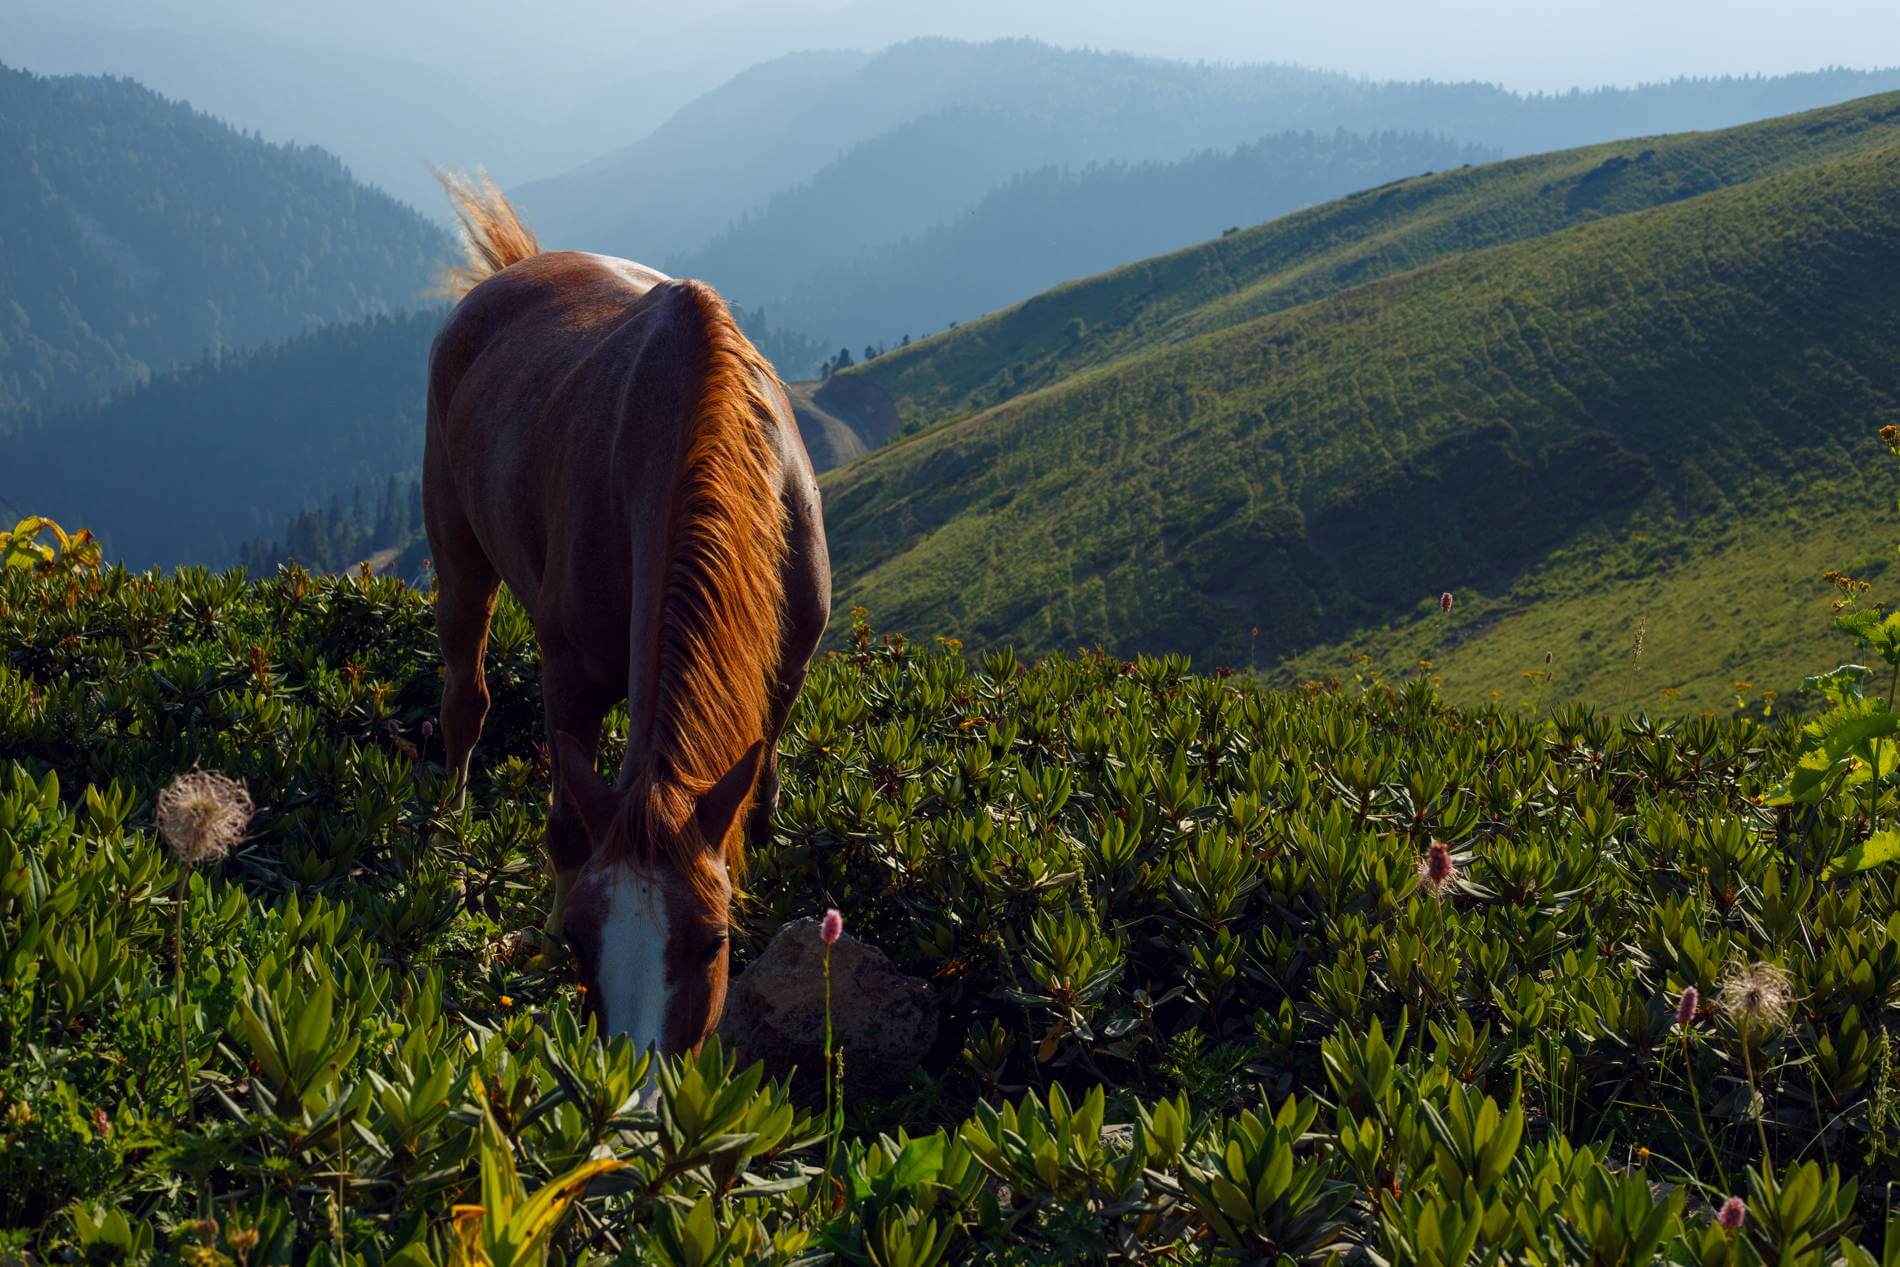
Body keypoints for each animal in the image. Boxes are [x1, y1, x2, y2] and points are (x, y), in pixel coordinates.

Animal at [427, 170, 828, 1063]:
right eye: (584, 943)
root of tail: (514, 269)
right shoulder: (569, 680)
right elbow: (568, 832)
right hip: (455, 544)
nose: (635, 1084)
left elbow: (760, 804)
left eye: (714, 940)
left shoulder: (782, 679)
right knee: (464, 696)